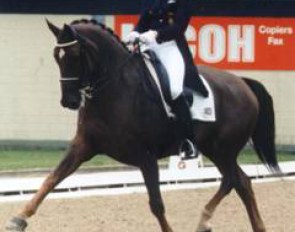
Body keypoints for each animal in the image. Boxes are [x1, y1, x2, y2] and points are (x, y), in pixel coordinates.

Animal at [6, 20, 280, 232]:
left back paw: (206, 220)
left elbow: (156, 204)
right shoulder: (84, 145)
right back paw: (244, 225)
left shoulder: (146, 156)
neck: (114, 90)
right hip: (217, 150)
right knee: (240, 182)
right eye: (56, 57)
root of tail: (242, 83)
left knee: (233, 180)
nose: (69, 101)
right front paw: (18, 219)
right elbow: (52, 179)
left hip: (222, 149)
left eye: (75, 56)